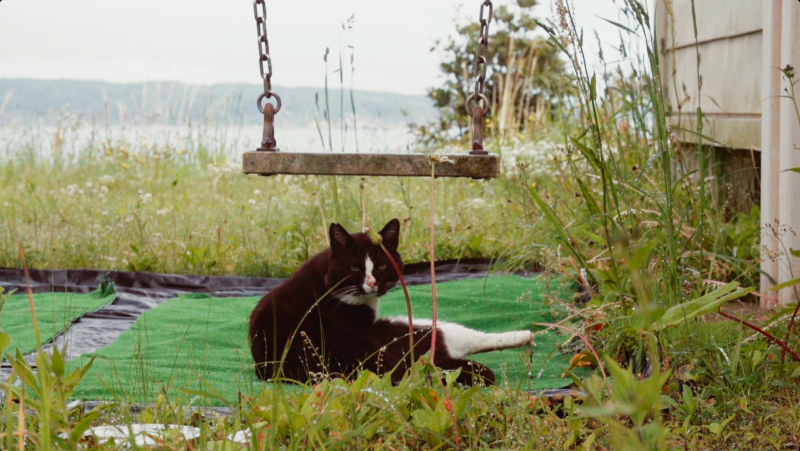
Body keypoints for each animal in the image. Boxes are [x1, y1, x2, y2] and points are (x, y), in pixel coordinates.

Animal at [247, 219, 536, 384]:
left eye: (383, 265)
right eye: (355, 268)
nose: (372, 282)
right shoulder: (350, 333)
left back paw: (525, 336)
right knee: (466, 338)